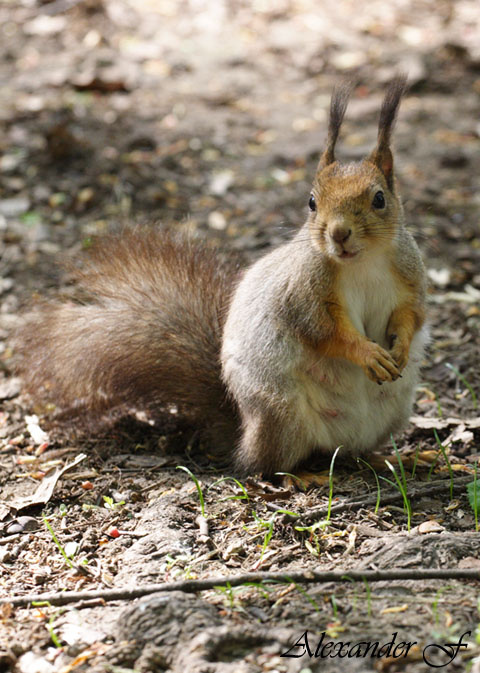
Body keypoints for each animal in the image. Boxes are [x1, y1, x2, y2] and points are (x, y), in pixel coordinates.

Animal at [16, 76, 428, 476]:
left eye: (379, 199)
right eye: (312, 202)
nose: (339, 234)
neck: (362, 263)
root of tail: (243, 429)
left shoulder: (409, 278)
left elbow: (411, 316)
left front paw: (401, 347)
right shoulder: (304, 292)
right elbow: (325, 332)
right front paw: (368, 353)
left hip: (391, 413)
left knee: (350, 455)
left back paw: (394, 459)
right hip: (281, 413)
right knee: (266, 465)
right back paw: (300, 474)